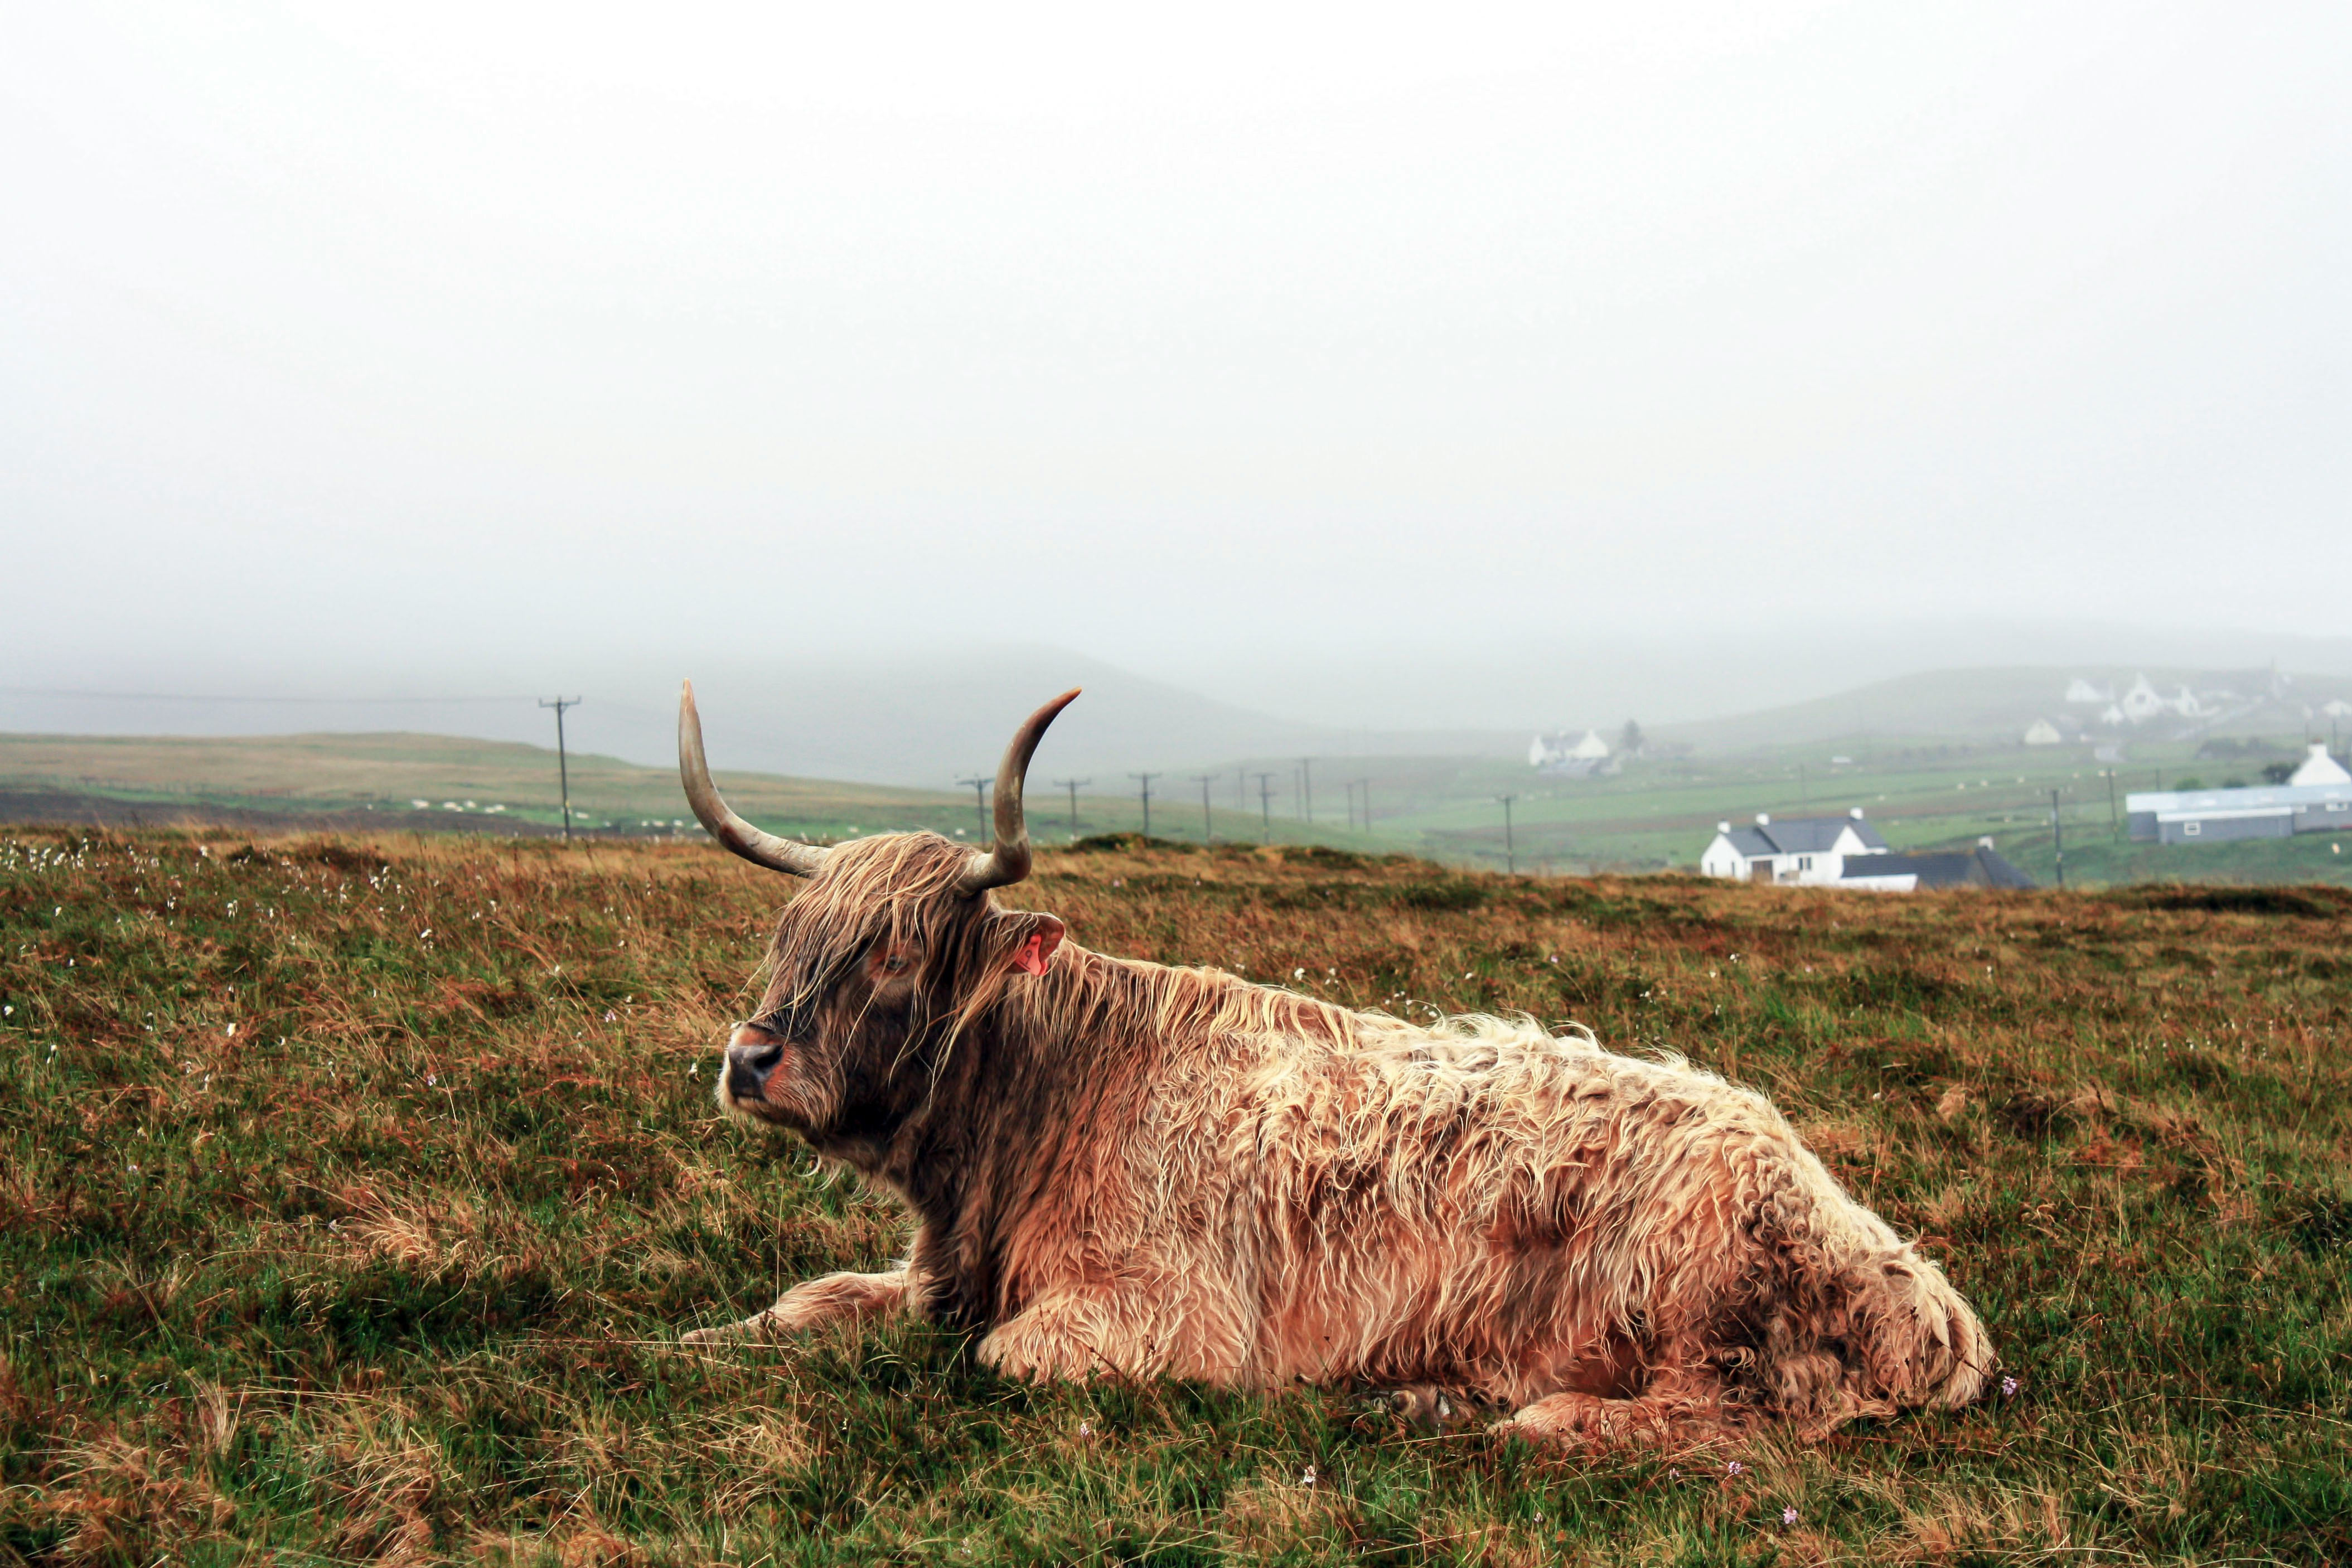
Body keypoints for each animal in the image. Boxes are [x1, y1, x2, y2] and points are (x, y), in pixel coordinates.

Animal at [677, 681, 1985, 1439]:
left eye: (896, 952)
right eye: (790, 934)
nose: (750, 1057)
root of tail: (1922, 1288)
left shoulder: (1163, 1315)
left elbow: (999, 1355)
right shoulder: (939, 1272)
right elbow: (808, 1301)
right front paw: (697, 1342)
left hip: (1703, 1318)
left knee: (1706, 1421)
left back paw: (1491, 1412)